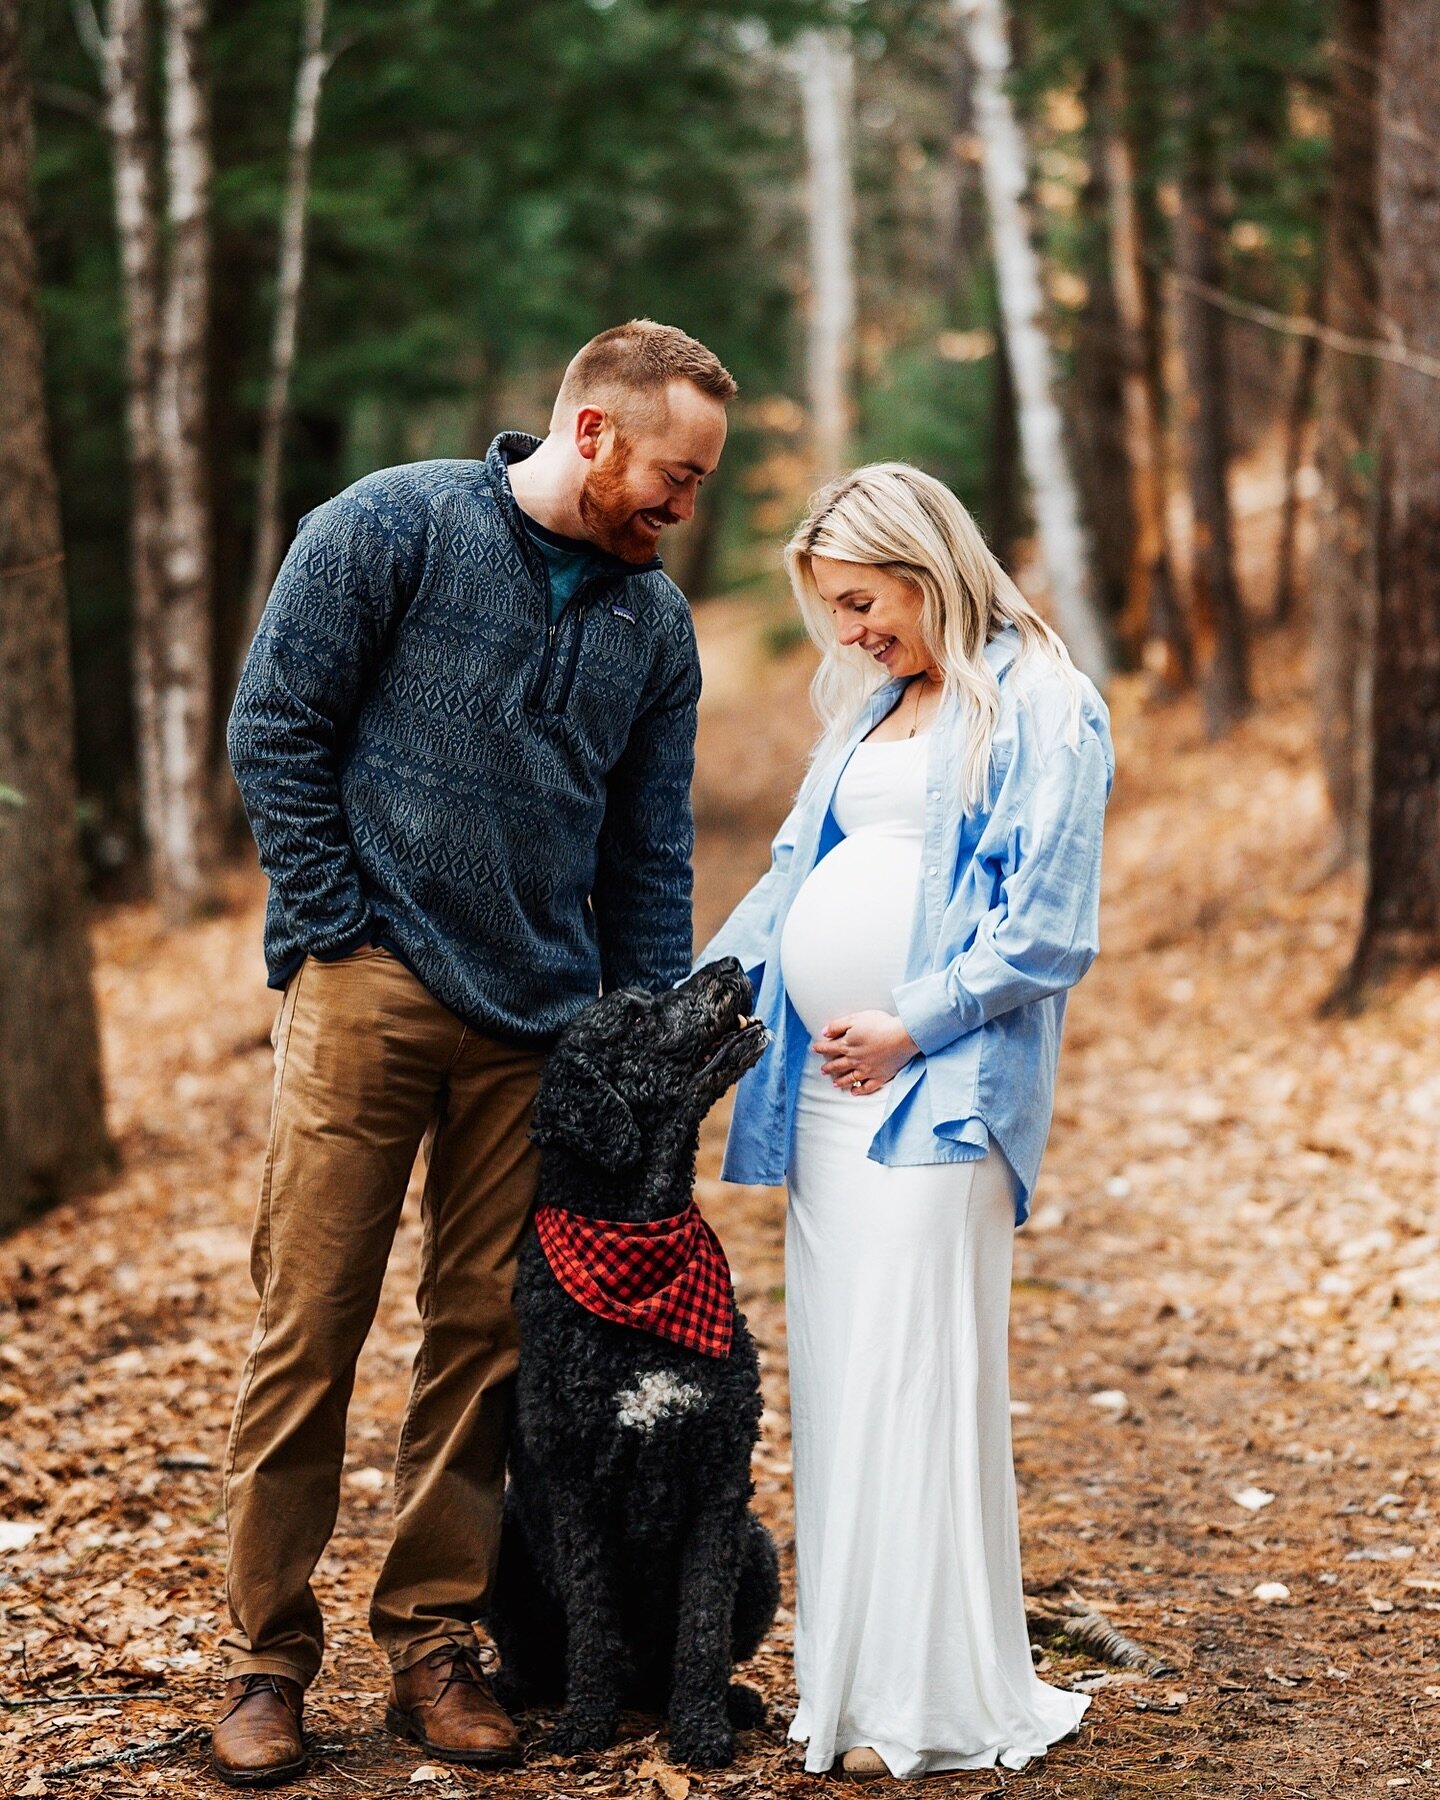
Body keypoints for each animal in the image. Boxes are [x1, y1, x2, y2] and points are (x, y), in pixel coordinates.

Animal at [482, 964, 777, 1764]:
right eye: (632, 1019)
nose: (733, 966)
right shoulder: (578, 1481)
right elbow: (592, 1618)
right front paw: (586, 1724)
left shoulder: (720, 1480)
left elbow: (703, 1627)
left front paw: (701, 1729)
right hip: (503, 1543)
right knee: (535, 1654)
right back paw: (517, 1694)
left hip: (761, 1547)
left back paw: (729, 1701)